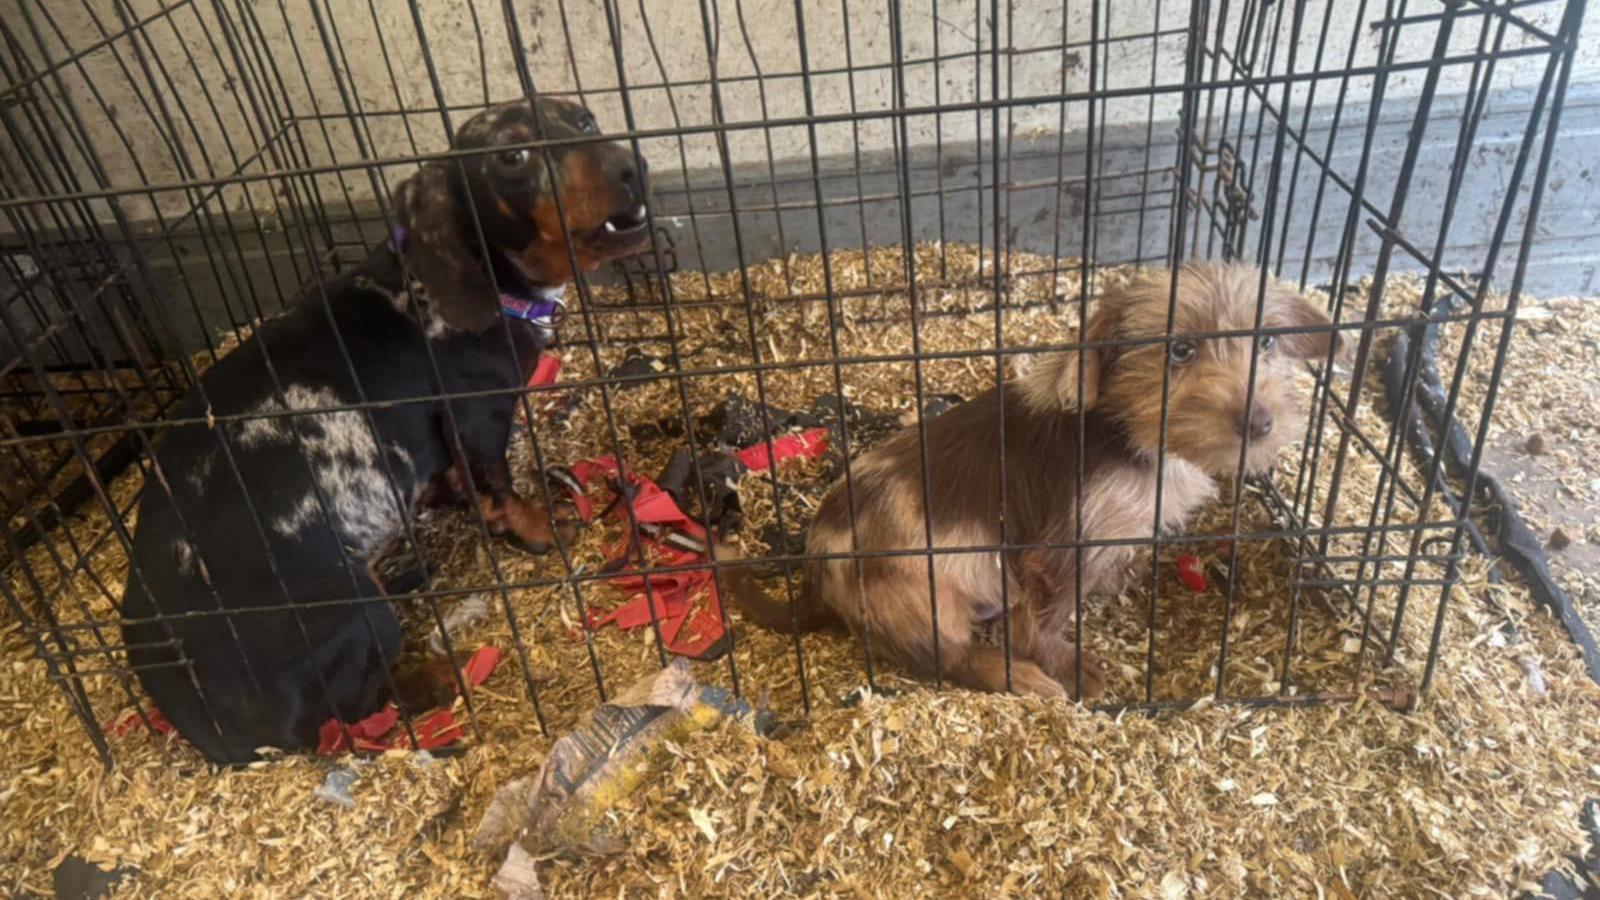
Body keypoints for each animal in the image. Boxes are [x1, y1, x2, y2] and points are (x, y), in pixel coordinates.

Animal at [121, 96, 652, 755]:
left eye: (583, 121)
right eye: (512, 154)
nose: (631, 167)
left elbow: (462, 480)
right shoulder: (479, 413)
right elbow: (499, 482)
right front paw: (537, 527)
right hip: (359, 613)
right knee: (356, 710)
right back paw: (443, 672)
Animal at [726, 262, 1337, 698]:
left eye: (1268, 343)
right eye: (1180, 350)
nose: (1260, 423)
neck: (1127, 429)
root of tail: (816, 569)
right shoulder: (1061, 545)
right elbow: (1044, 620)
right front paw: (1074, 669)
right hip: (920, 598)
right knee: (949, 657)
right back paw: (1023, 680)